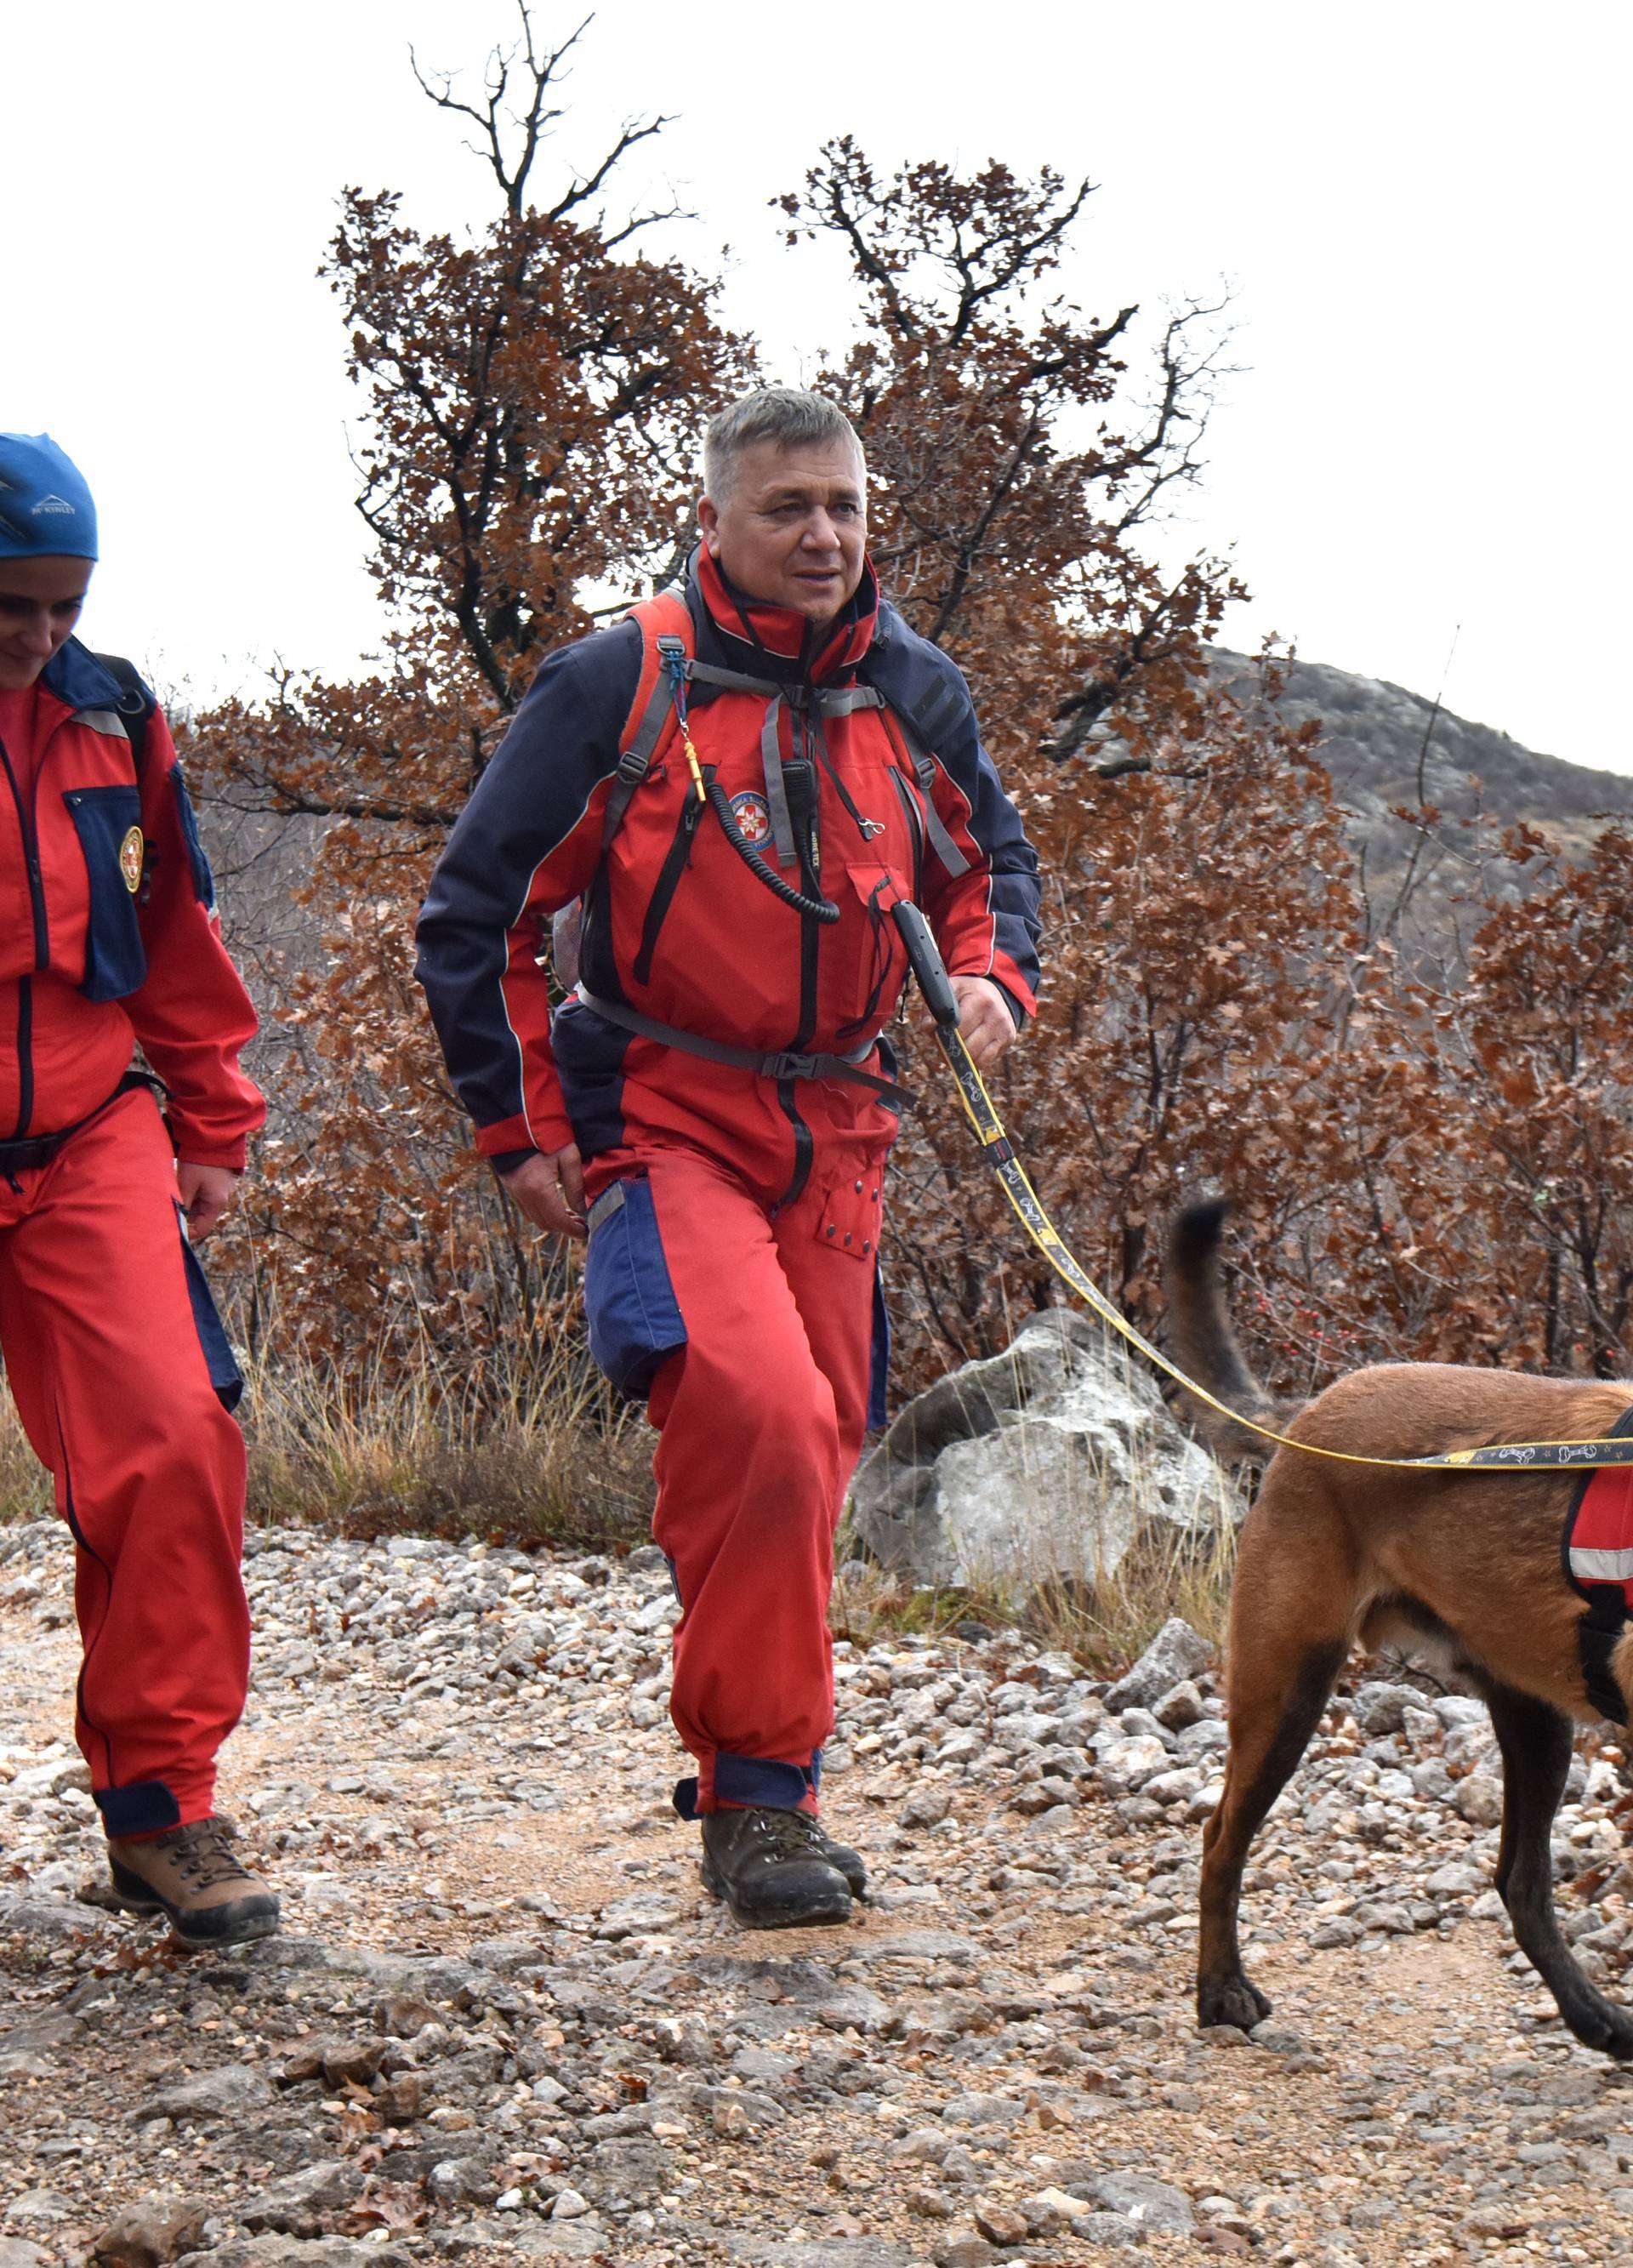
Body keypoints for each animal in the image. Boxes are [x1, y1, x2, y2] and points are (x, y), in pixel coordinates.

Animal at [1170, 1206, 1633, 2059]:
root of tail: (1313, 1412)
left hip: (1534, 1716)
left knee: (1521, 1883)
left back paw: (1594, 2018)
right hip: (1288, 1687)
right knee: (1221, 1838)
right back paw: (1221, 1992)